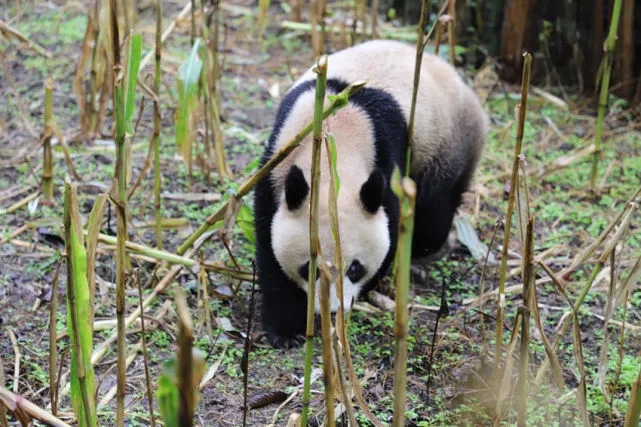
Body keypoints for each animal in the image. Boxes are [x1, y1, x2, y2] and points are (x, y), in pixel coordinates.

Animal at [254, 40, 487, 348]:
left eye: (355, 268)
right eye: (309, 268)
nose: (332, 310)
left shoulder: (385, 156)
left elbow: (391, 224)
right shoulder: (276, 163)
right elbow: (270, 249)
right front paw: (287, 331)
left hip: (446, 143)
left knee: (437, 205)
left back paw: (422, 247)